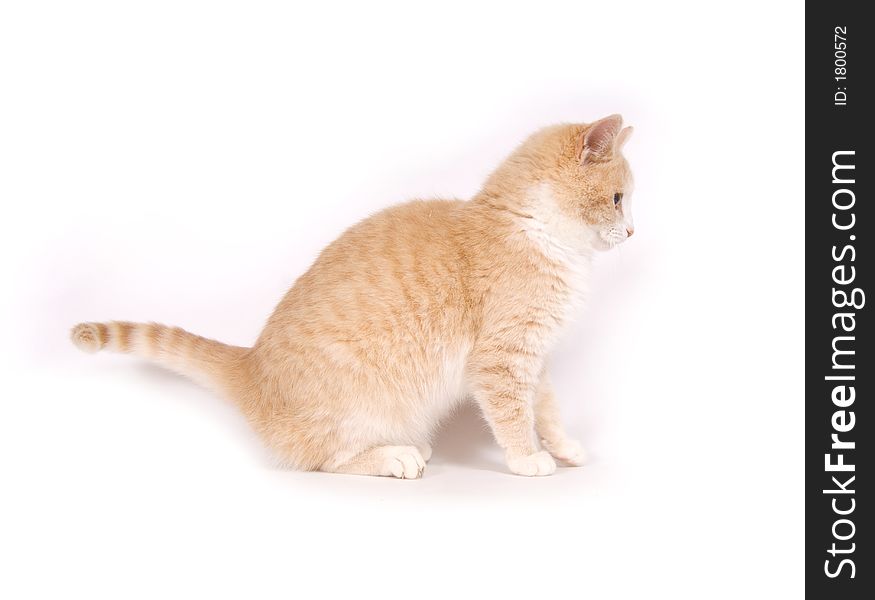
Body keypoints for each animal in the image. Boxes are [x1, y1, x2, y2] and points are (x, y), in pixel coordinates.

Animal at [72, 112, 636, 478]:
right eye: (617, 199)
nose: (632, 233)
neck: (531, 227)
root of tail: (251, 367)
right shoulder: (502, 359)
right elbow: (513, 414)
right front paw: (526, 457)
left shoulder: (534, 357)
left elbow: (547, 407)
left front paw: (564, 446)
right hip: (360, 408)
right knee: (326, 459)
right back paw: (395, 456)